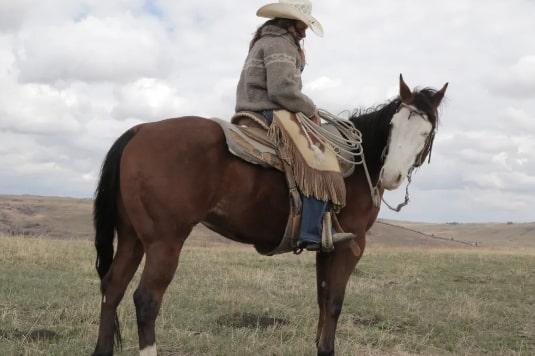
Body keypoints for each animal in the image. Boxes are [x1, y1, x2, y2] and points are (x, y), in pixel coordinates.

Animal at [92, 76, 448, 356]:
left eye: (425, 131)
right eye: (393, 126)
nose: (391, 176)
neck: (359, 168)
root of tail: (139, 131)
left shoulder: (328, 247)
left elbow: (322, 299)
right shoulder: (351, 245)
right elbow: (334, 301)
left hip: (132, 238)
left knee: (113, 288)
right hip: (165, 242)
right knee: (146, 300)